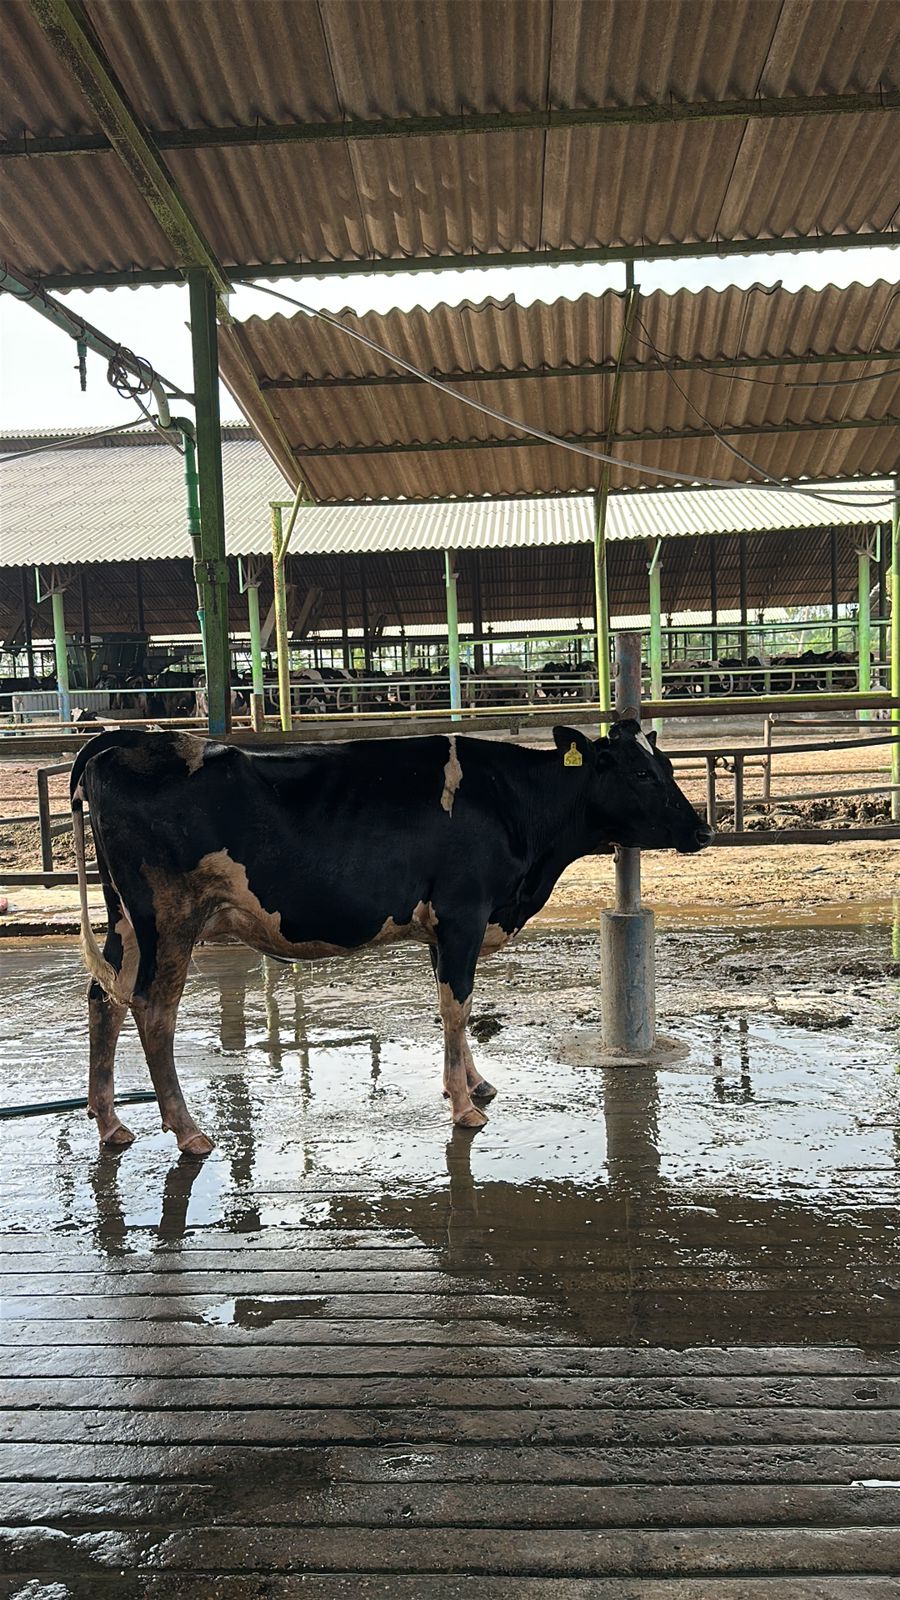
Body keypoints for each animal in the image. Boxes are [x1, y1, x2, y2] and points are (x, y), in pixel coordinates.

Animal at [70, 722, 712, 1156]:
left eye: (667, 765)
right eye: (640, 772)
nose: (703, 830)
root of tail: (126, 741)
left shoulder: (441, 927)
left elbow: (454, 1005)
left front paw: (475, 1083)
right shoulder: (463, 912)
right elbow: (456, 1005)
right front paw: (464, 1107)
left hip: (125, 919)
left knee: (104, 999)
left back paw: (111, 1123)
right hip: (169, 919)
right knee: (153, 1011)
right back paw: (188, 1130)